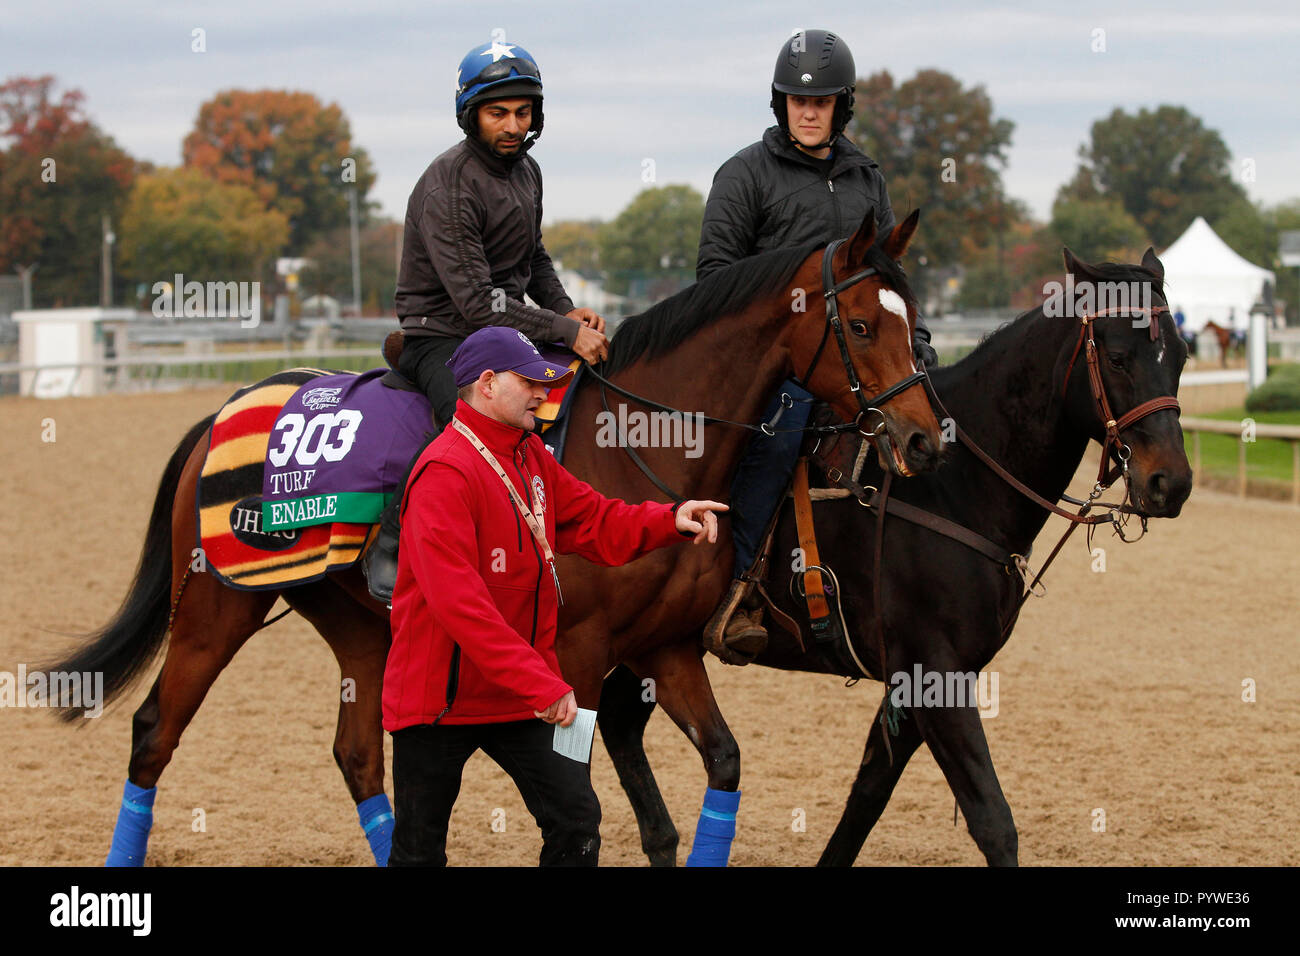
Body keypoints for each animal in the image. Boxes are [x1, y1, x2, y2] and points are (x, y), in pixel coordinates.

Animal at [53, 209, 946, 868]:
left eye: (917, 322)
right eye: (860, 325)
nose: (925, 438)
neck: (641, 440)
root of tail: (221, 411)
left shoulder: (665, 648)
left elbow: (722, 760)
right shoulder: (577, 655)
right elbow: (574, 789)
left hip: (357, 626)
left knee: (357, 755)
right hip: (217, 606)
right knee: (154, 733)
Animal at [595, 247, 1190, 868]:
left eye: (1181, 357)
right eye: (1118, 358)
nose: (1171, 482)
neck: (954, 484)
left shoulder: (919, 681)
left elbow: (867, 796)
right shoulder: (933, 674)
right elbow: (993, 820)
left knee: (617, 719)